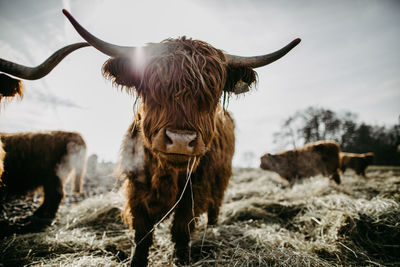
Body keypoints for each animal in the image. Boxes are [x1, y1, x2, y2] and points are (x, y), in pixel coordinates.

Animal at [62, 9, 300, 266]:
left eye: (212, 93)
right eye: (152, 87)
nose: (180, 140)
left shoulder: (197, 188)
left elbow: (182, 228)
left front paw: (182, 258)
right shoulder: (136, 186)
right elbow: (142, 233)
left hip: (221, 176)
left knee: (215, 205)